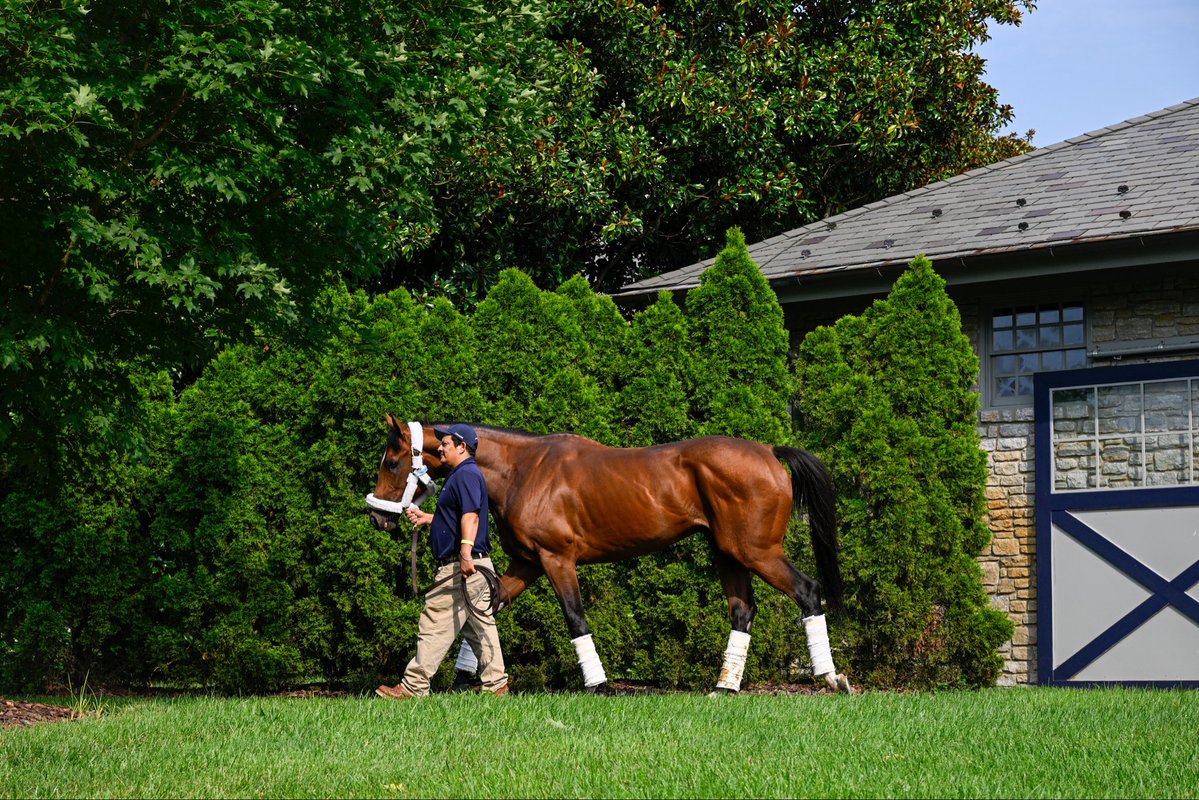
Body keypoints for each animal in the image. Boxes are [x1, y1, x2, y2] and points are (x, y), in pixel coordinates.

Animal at [366, 416, 852, 694]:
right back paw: (724, 688)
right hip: (728, 554)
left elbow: (576, 618)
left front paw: (599, 685)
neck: (525, 470)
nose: (378, 517)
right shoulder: (527, 562)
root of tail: (770, 452)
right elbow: (486, 608)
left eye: (392, 461)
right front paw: (467, 681)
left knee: (807, 591)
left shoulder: (556, 559)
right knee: (742, 610)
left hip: (756, 551)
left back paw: (831, 678)